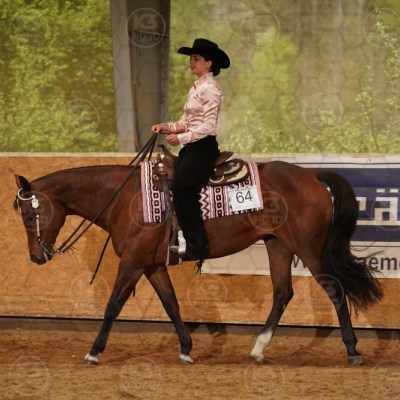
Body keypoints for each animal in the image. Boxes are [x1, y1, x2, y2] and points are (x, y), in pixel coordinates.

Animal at [13, 157, 383, 366]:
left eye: (31, 213)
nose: (35, 256)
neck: (124, 199)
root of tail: (312, 175)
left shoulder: (132, 263)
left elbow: (113, 305)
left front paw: (93, 351)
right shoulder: (152, 265)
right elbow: (171, 304)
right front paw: (186, 349)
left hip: (308, 249)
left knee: (335, 290)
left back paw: (352, 351)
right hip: (278, 246)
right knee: (282, 294)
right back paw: (258, 349)